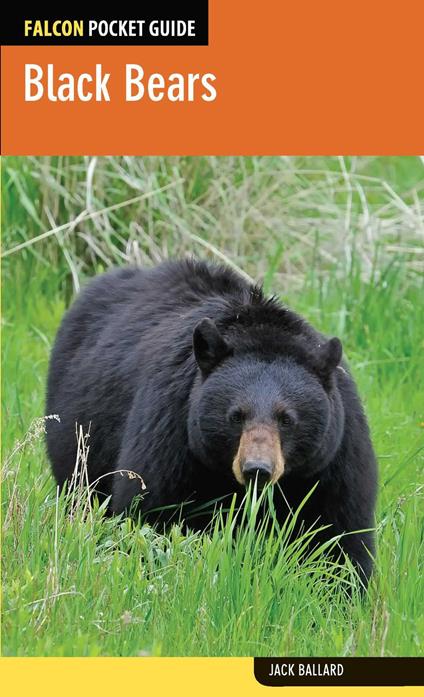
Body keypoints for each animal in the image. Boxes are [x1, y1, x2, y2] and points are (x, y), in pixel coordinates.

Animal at [46, 258, 377, 585]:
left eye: (287, 419)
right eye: (236, 415)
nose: (257, 469)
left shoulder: (335, 456)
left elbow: (339, 535)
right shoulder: (172, 427)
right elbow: (153, 510)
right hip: (80, 431)